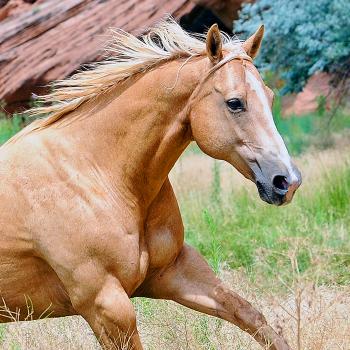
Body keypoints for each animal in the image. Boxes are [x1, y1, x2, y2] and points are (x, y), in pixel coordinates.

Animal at [0, 19, 300, 350]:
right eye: (235, 103)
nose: (286, 181)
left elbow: (251, 317)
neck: (95, 173)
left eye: (270, 98)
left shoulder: (175, 271)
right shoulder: (105, 304)